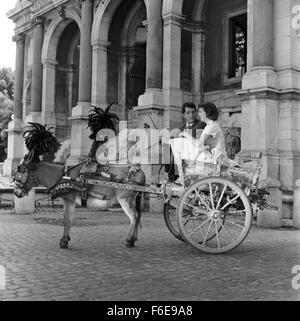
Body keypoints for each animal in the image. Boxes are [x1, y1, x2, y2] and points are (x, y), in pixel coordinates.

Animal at [12, 106, 146, 249]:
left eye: (19, 174)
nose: (16, 193)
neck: (63, 177)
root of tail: (137, 171)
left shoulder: (68, 199)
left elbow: (66, 220)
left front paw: (64, 241)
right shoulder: (70, 201)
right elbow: (69, 220)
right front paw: (66, 238)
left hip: (124, 199)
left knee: (133, 217)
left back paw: (128, 240)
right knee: (138, 216)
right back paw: (133, 238)